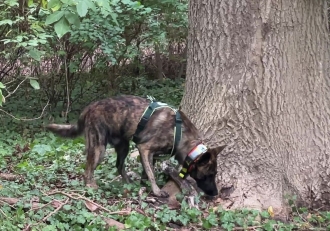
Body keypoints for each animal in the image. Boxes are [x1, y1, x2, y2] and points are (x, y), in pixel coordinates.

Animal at [46, 94, 226, 198]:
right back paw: (91, 186)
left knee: (119, 166)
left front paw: (143, 184)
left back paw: (128, 183)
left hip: (123, 146)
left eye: (215, 174)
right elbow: (152, 174)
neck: (180, 134)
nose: (216, 194)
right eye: (208, 175)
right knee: (88, 169)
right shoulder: (144, 149)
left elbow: (147, 172)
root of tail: (90, 107)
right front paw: (156, 191)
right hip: (99, 149)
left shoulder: (150, 155)